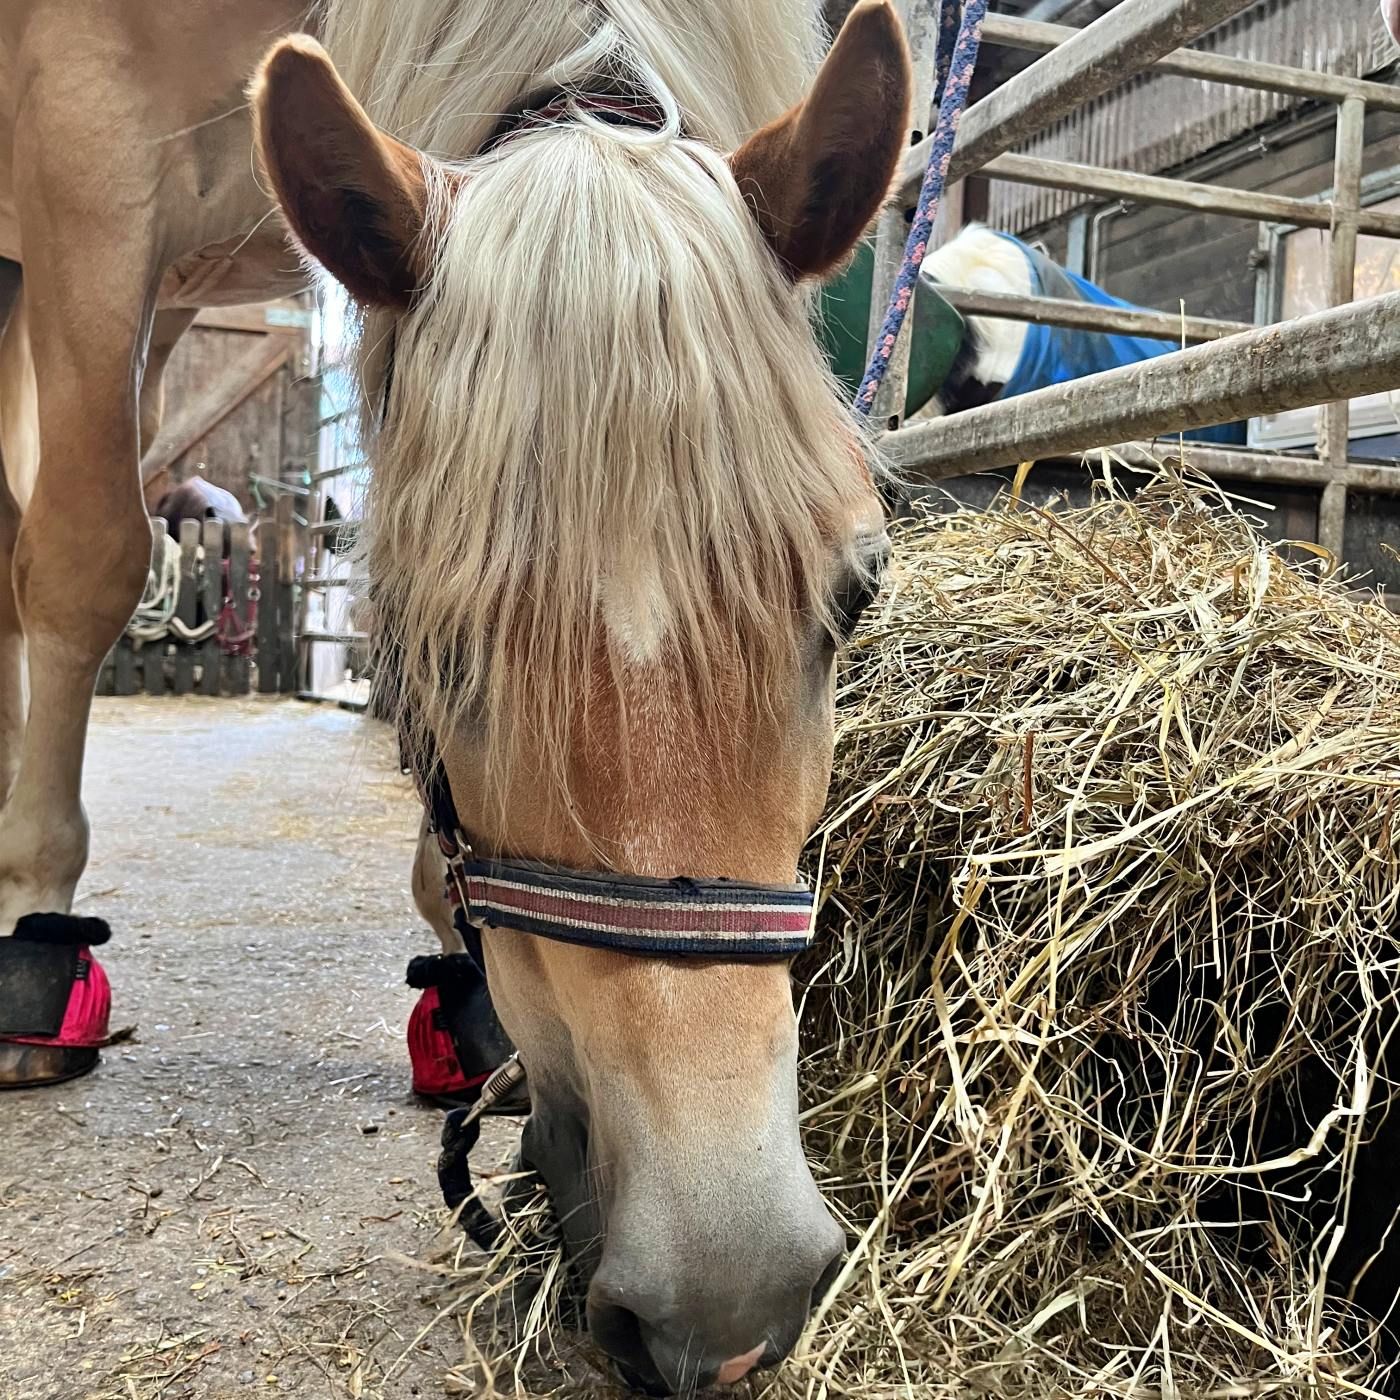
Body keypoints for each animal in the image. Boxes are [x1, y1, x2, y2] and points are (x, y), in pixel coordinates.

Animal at [0, 0, 908, 1391]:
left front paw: (461, 988)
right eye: (430, 636)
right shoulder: (85, 148)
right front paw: (38, 927)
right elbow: (89, 551)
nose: (726, 1288)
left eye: (854, 594)